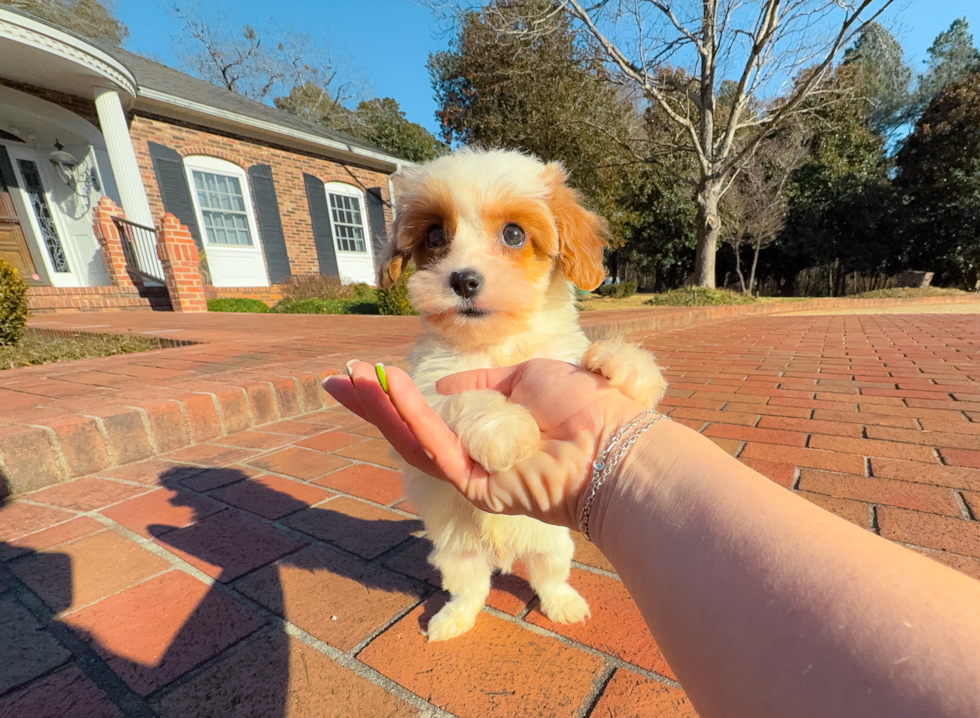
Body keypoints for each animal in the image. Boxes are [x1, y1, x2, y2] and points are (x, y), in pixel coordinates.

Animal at [376, 146, 668, 640]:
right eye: (435, 235)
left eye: (513, 234)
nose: (463, 280)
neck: (498, 342)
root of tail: (502, 552)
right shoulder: (427, 386)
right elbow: (465, 394)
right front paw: (507, 430)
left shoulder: (558, 356)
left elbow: (600, 365)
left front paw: (626, 365)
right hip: (457, 554)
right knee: (470, 590)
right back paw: (451, 620)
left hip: (554, 544)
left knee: (549, 578)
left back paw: (564, 605)